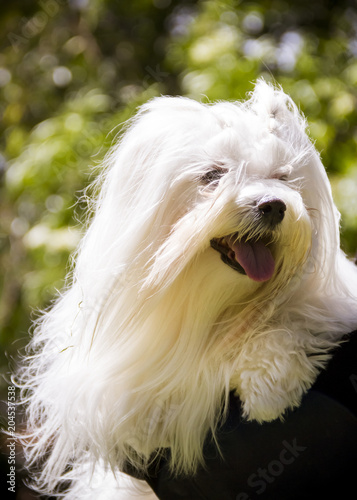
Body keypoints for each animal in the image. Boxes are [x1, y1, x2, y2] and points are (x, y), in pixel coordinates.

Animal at [18, 80, 356, 498]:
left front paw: (269, 388)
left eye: (282, 176)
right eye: (213, 175)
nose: (274, 205)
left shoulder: (327, 302)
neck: (208, 302)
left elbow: (292, 317)